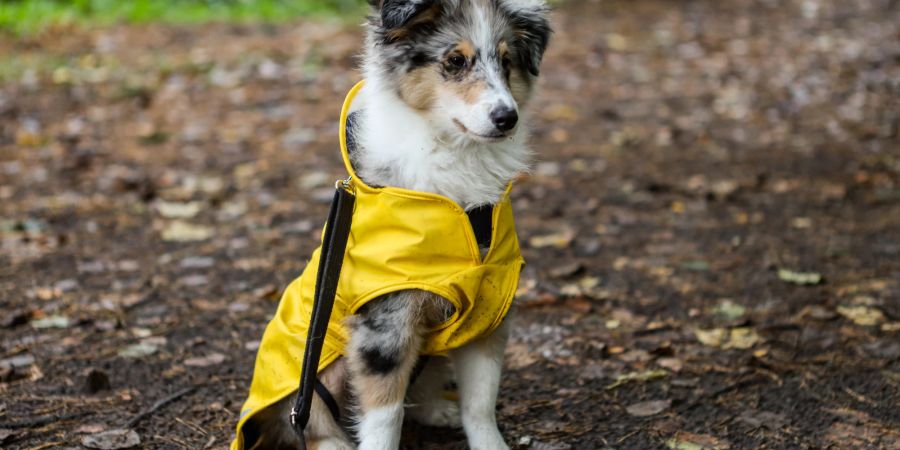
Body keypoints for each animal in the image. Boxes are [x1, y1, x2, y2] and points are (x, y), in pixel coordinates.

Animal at [239, 0, 548, 450]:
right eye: (455, 61)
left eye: (508, 62)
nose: (507, 117)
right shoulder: (385, 323)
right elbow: (385, 416)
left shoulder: (490, 311)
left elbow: (480, 403)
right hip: (313, 375)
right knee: (306, 421)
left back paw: (438, 409)